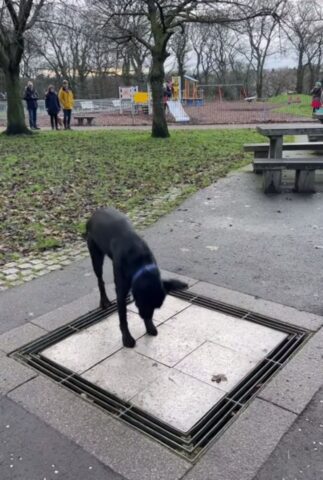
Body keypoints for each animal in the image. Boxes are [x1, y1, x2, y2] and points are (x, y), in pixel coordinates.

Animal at [86, 208, 189, 346]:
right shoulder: (121, 292)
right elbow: (123, 317)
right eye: (141, 304)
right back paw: (104, 301)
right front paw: (127, 338)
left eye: (156, 307)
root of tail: (96, 212)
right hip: (96, 256)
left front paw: (150, 326)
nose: (146, 317)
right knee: (100, 280)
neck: (141, 263)